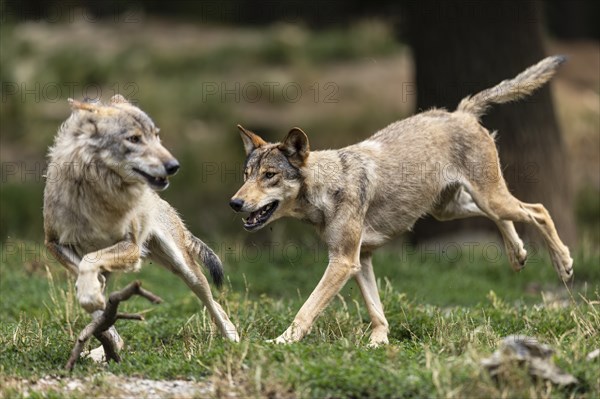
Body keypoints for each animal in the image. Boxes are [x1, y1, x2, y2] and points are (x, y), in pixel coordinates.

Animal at [44, 94, 239, 362]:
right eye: (134, 139)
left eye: (156, 136)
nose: (174, 165)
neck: (100, 195)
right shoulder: (53, 243)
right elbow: (84, 270)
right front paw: (92, 293)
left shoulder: (132, 247)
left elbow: (89, 262)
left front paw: (91, 291)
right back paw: (103, 349)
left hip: (184, 268)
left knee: (214, 303)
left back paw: (235, 340)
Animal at [230, 56, 572, 346]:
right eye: (246, 175)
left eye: (269, 175)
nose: (234, 203)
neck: (328, 185)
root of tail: (459, 112)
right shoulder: (360, 259)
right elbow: (376, 311)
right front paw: (378, 343)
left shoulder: (342, 261)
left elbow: (307, 308)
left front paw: (282, 342)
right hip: (453, 209)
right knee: (507, 216)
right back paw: (518, 254)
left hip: (488, 199)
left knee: (538, 210)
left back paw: (564, 264)